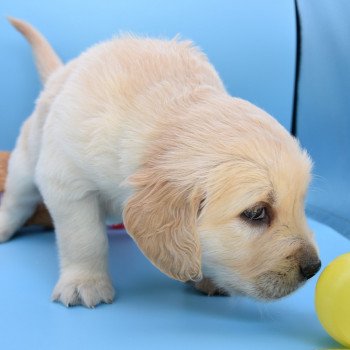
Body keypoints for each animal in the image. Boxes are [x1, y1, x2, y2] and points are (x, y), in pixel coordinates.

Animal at [0, 18, 320, 306]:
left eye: (300, 203)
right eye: (256, 213)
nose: (314, 267)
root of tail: (61, 73)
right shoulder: (67, 182)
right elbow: (84, 238)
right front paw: (85, 282)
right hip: (26, 160)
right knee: (17, 199)